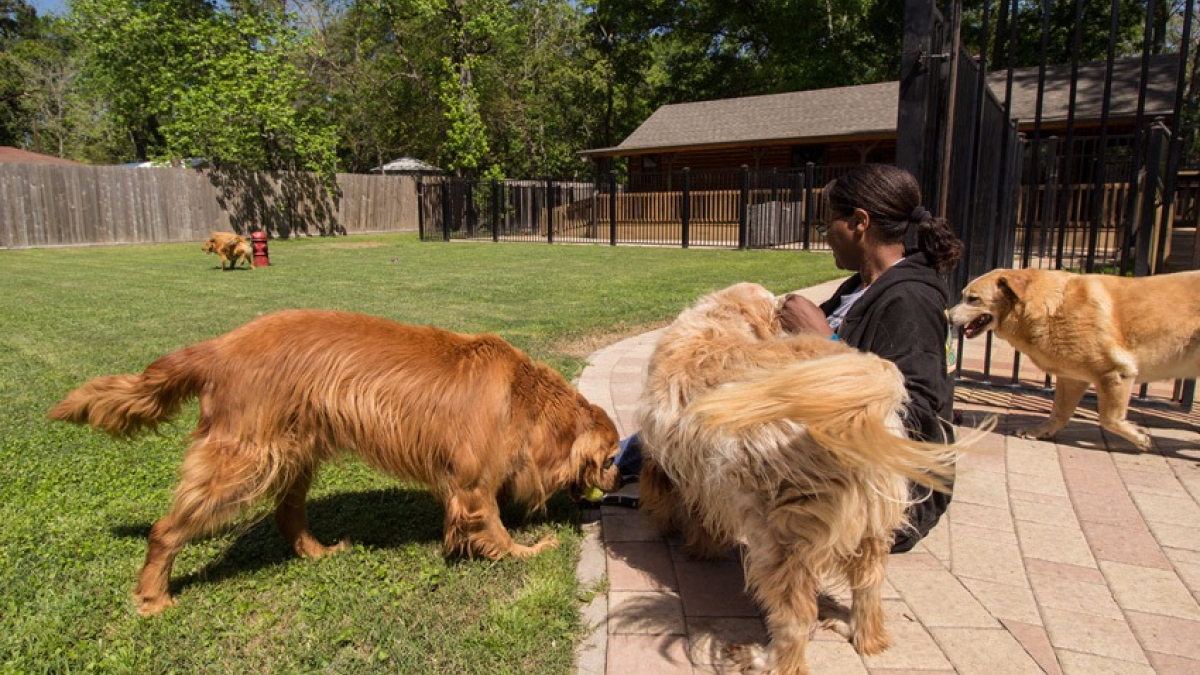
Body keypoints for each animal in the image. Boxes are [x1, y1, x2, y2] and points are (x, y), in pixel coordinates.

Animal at [49, 309, 619, 614]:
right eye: (613, 455)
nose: (617, 478)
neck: (524, 396)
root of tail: (218, 347)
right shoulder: (472, 480)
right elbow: (493, 526)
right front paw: (526, 550)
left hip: (294, 453)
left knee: (287, 514)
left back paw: (317, 552)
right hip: (245, 462)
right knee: (166, 530)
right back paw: (153, 596)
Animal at [638, 281, 955, 667]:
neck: (722, 319)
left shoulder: (685, 470)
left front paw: (696, 544)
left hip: (779, 539)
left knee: (796, 620)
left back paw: (764, 658)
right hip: (872, 529)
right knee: (869, 589)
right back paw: (859, 634)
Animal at [945, 265, 1200, 449]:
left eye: (973, 299)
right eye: (962, 295)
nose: (947, 316)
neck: (1047, 306)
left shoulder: (1116, 372)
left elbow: (1109, 419)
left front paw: (1139, 437)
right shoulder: (1072, 377)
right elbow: (1059, 412)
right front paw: (1040, 431)